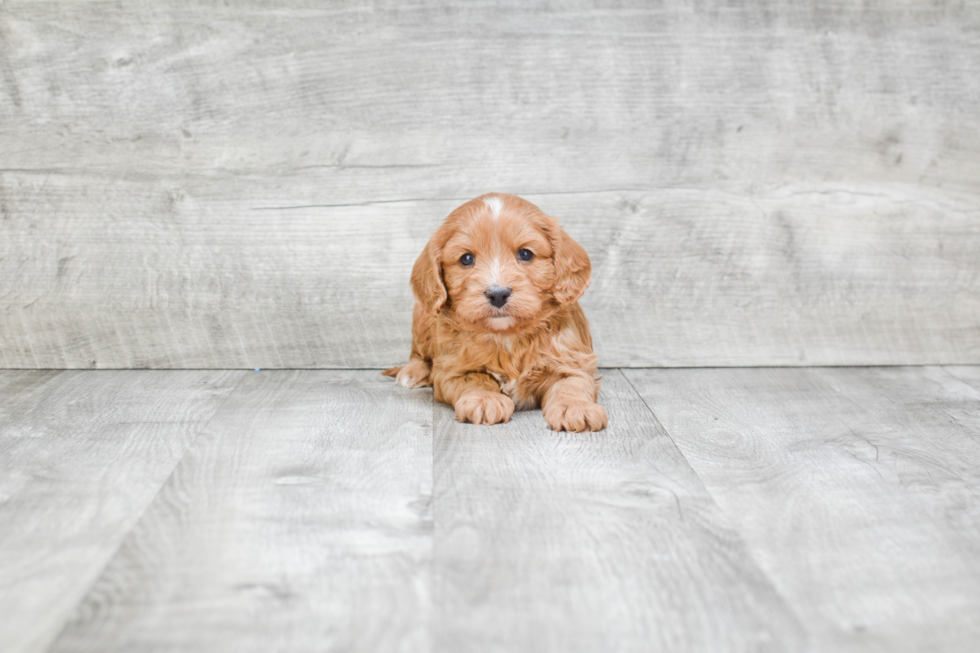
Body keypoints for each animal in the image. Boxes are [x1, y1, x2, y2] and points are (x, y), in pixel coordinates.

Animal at [382, 191, 604, 430]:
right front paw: (484, 399)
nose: (498, 294)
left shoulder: (572, 361)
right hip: (422, 316)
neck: (506, 335)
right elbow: (476, 379)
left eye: (525, 254)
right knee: (418, 353)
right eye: (466, 258)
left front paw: (576, 408)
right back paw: (412, 372)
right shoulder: (452, 370)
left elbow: (572, 384)